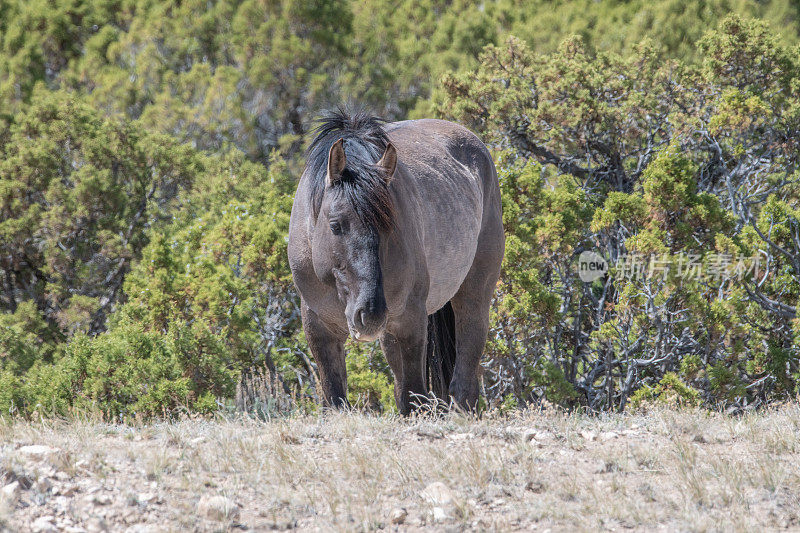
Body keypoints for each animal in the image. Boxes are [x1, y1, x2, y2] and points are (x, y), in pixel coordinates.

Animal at [288, 110, 504, 414]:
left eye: (390, 226)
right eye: (335, 225)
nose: (368, 314)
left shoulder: (410, 321)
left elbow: (414, 395)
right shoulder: (318, 325)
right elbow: (335, 396)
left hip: (472, 295)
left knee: (465, 374)